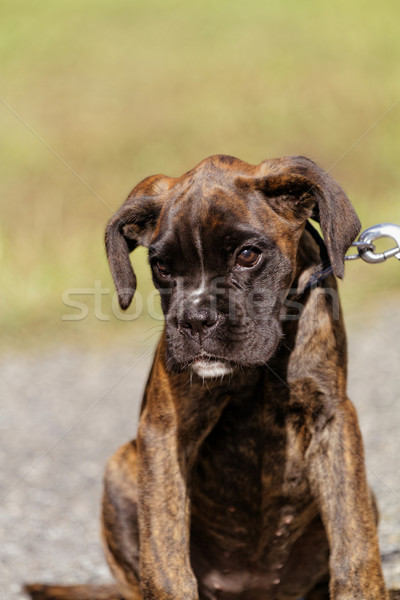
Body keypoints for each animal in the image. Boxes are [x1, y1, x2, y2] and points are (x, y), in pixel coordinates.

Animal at [25, 156, 400, 600]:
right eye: (162, 266)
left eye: (248, 255)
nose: (195, 320)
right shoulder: (166, 431)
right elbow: (166, 559)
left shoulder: (332, 420)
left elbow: (354, 544)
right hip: (121, 467)